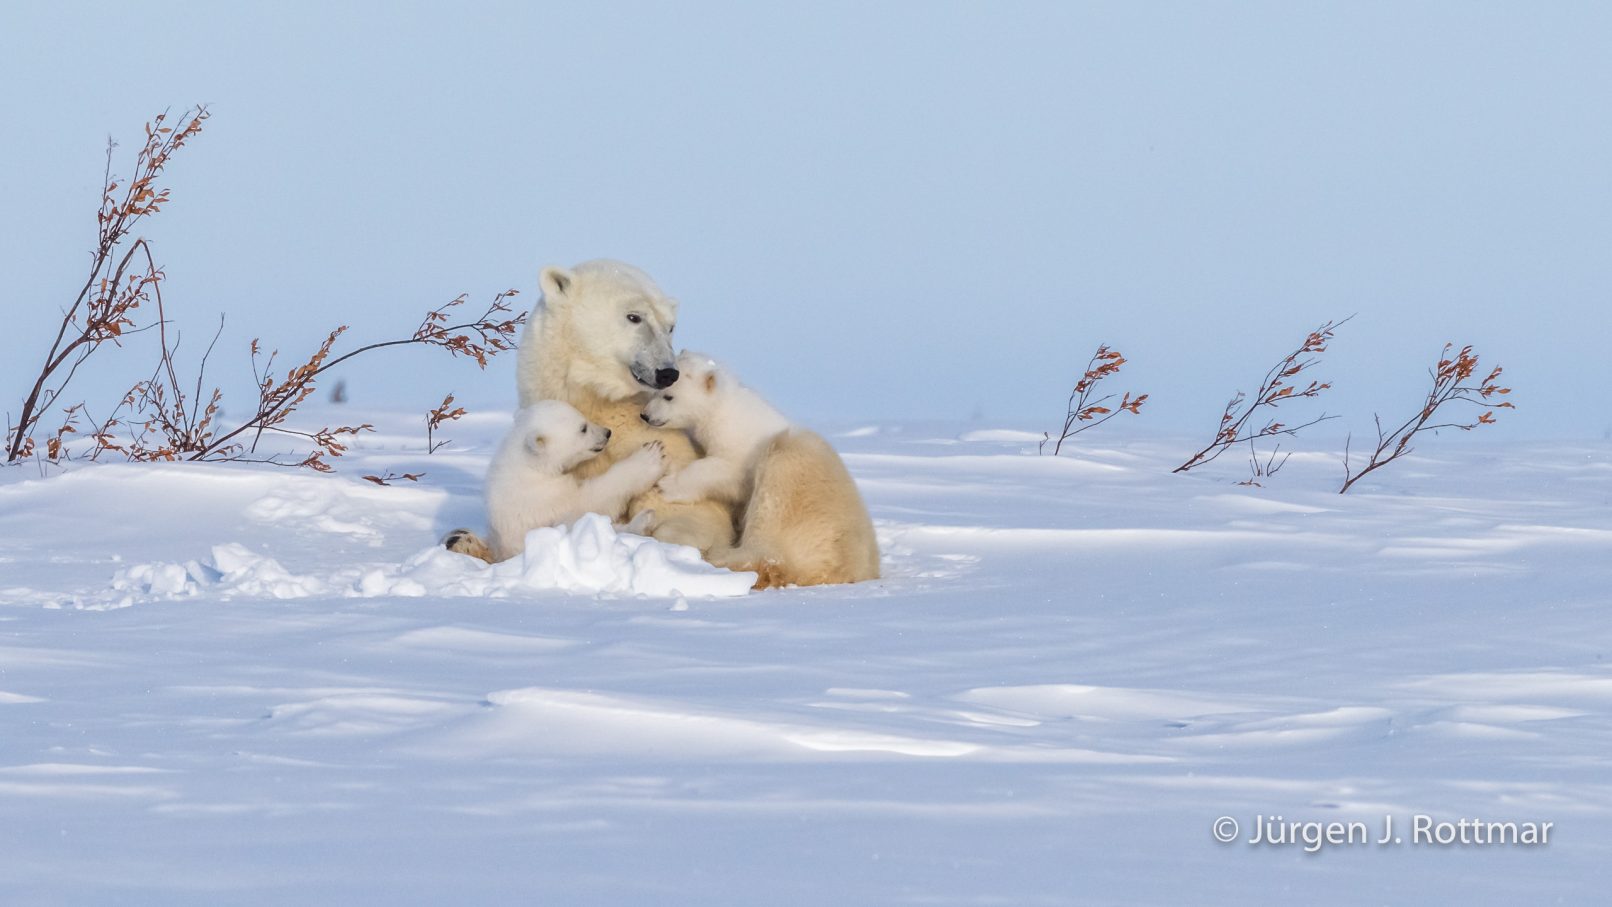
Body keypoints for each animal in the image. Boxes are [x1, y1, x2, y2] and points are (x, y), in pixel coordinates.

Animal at [441, 400, 668, 564]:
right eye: (583, 428)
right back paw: (644, 520)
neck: (530, 464)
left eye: (584, 418)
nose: (607, 432)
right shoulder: (544, 497)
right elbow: (590, 498)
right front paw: (651, 456)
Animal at [640, 351, 880, 589]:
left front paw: (667, 486)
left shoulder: (740, 447)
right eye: (654, 392)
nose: (645, 415)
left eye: (669, 397)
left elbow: (724, 471)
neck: (723, 409)